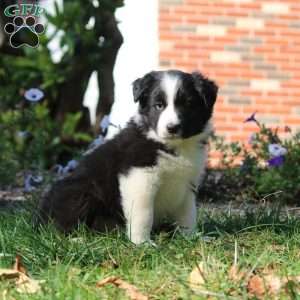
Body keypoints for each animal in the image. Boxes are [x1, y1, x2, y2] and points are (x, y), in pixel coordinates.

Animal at [37, 69, 218, 244]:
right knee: (60, 224)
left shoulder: (187, 183)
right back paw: (76, 239)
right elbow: (143, 214)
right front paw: (142, 243)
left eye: (188, 104)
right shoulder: (139, 177)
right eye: (158, 105)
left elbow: (187, 214)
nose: (172, 128)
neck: (172, 145)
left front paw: (192, 237)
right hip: (79, 192)